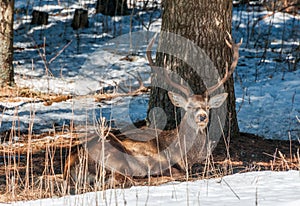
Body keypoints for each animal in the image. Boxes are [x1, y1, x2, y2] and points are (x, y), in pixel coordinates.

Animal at [63, 32, 241, 187]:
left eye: (208, 107)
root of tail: (70, 167)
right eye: (189, 107)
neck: (183, 155)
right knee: (122, 180)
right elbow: (179, 172)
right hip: (117, 157)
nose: (202, 117)